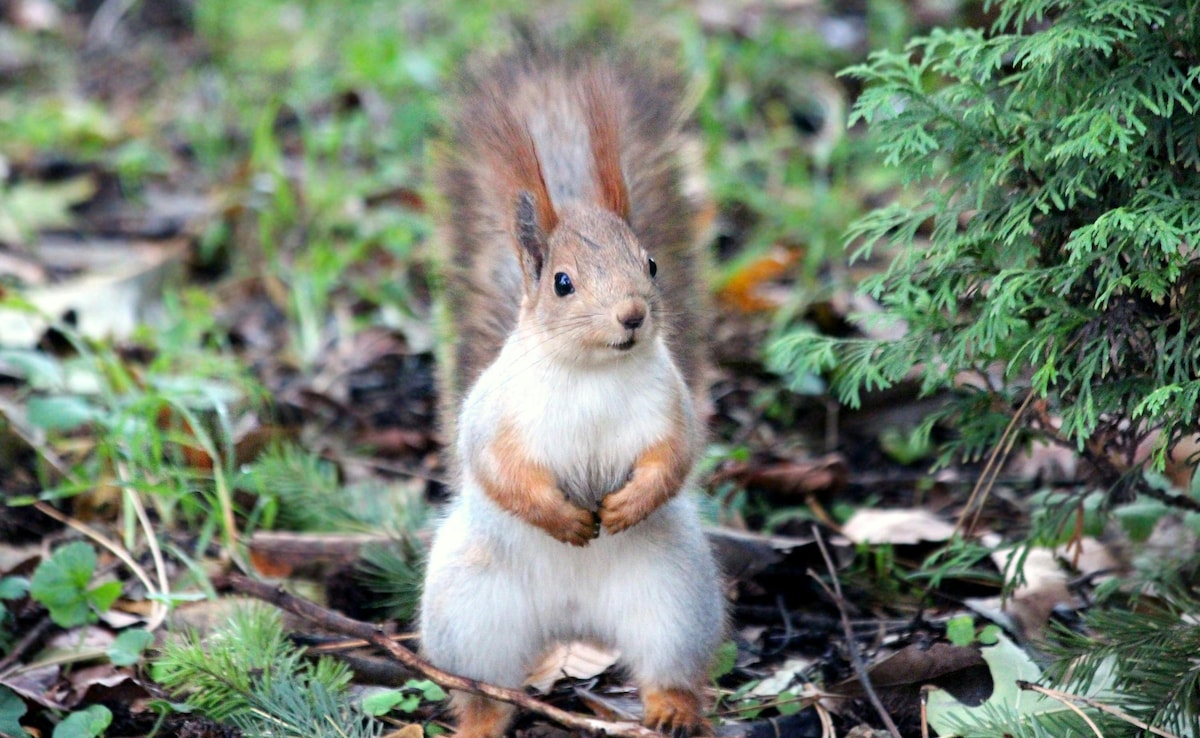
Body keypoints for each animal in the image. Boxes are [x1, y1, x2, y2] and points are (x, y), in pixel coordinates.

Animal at [419, 41, 724, 738]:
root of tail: (573, 622)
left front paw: (627, 506)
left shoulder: (672, 408)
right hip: (468, 612)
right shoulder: (496, 416)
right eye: (563, 283)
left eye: (651, 264)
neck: (591, 372)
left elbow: (673, 459)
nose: (633, 315)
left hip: (674, 600)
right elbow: (498, 468)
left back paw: (672, 710)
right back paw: (479, 721)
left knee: (669, 667)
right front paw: (561, 518)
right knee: (482, 690)